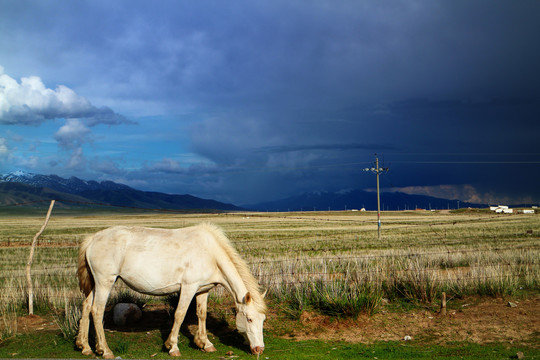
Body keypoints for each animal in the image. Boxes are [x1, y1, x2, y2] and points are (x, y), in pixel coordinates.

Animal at [76, 222, 268, 358]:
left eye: (263, 320)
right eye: (249, 319)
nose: (259, 349)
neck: (210, 254)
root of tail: (93, 238)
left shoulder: (202, 290)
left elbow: (202, 314)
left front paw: (205, 343)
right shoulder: (188, 288)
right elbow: (180, 314)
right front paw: (172, 347)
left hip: (95, 284)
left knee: (86, 307)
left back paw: (85, 347)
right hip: (105, 282)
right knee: (97, 311)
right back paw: (105, 350)